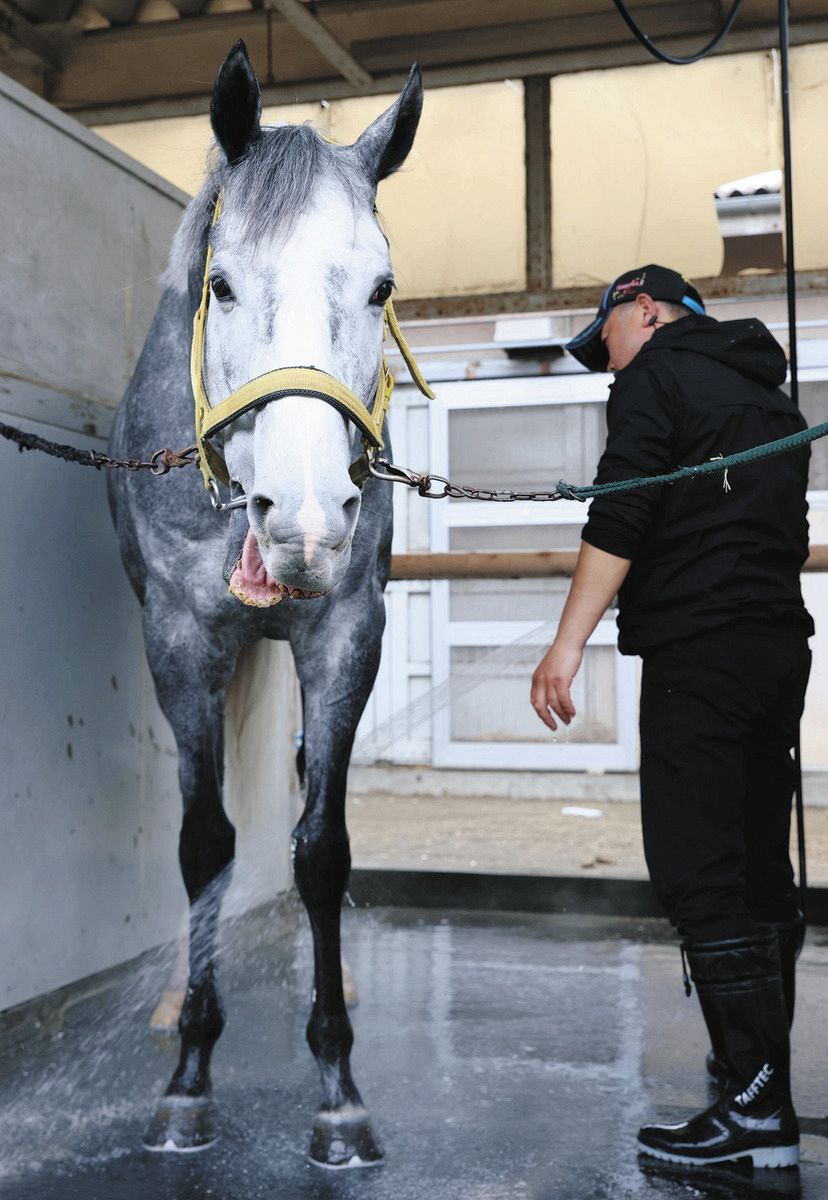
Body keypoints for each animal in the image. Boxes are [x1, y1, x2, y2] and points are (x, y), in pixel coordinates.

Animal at [107, 39, 423, 1169]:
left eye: (380, 288)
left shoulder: (343, 632)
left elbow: (320, 849)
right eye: (224, 285)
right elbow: (205, 848)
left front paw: (338, 1089)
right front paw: (188, 1077)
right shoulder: (179, 640)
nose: (306, 519)